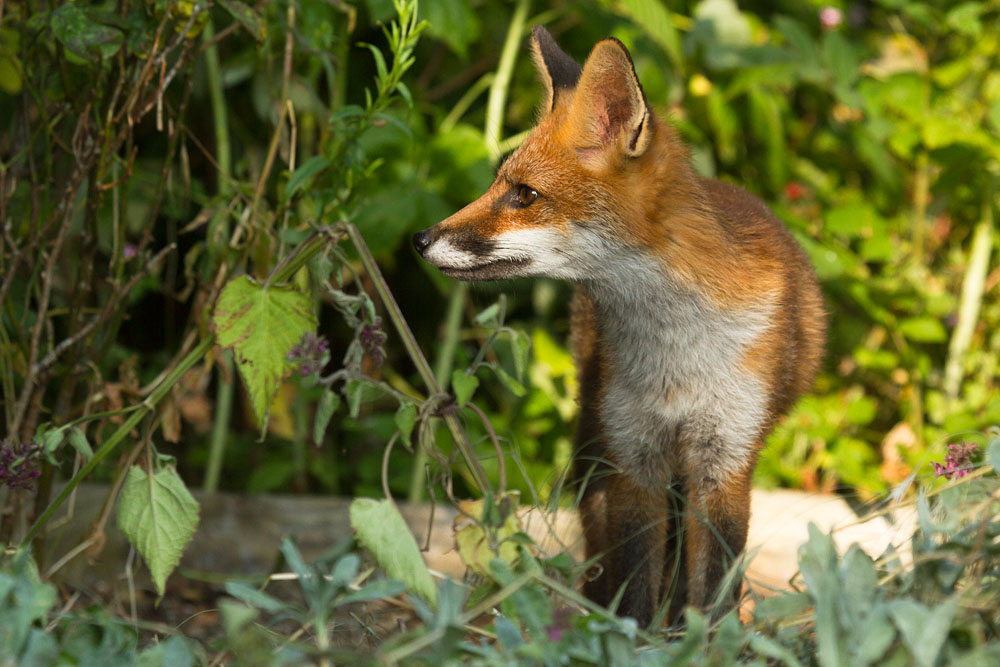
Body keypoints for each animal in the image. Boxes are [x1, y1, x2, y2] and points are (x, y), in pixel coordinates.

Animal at [412, 26, 826, 627]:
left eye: (525, 195)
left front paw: (705, 638)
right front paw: (628, 635)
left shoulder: (725, 458)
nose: (419, 240)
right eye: (496, 186)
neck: (677, 352)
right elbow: (634, 581)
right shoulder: (635, 454)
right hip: (594, 437)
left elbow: (712, 585)